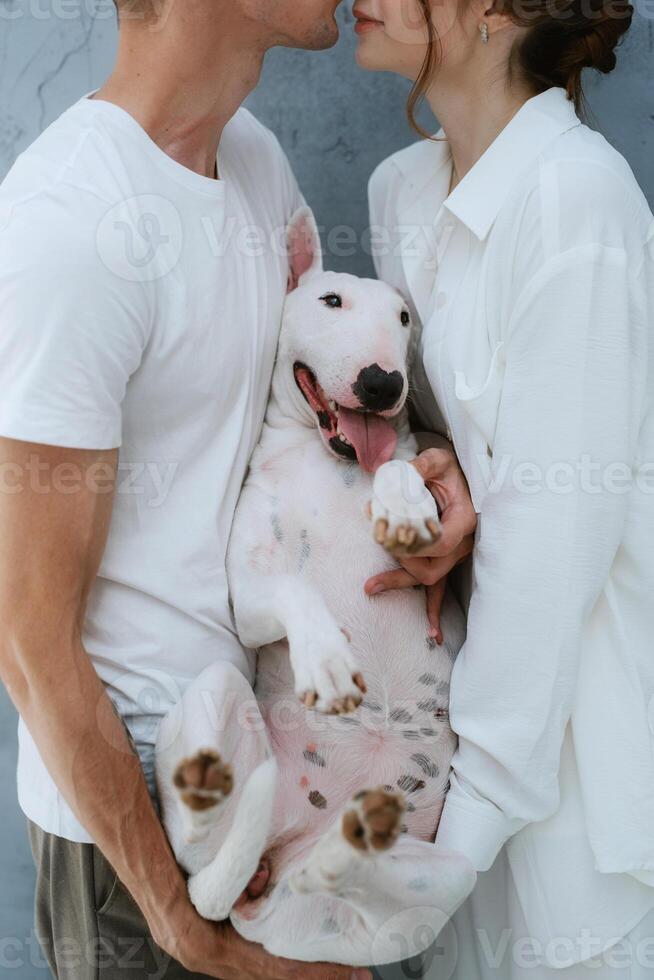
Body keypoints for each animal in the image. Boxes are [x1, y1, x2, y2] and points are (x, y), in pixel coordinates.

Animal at [157, 211, 480, 968]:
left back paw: (348, 845)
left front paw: (402, 502)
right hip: (219, 685)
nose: (383, 383)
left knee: (367, 884)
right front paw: (327, 659)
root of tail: (273, 874)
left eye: (403, 319)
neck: (325, 456)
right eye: (331, 301)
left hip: (439, 884)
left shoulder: (410, 459)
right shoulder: (247, 597)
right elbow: (294, 595)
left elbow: (402, 466)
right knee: (196, 853)